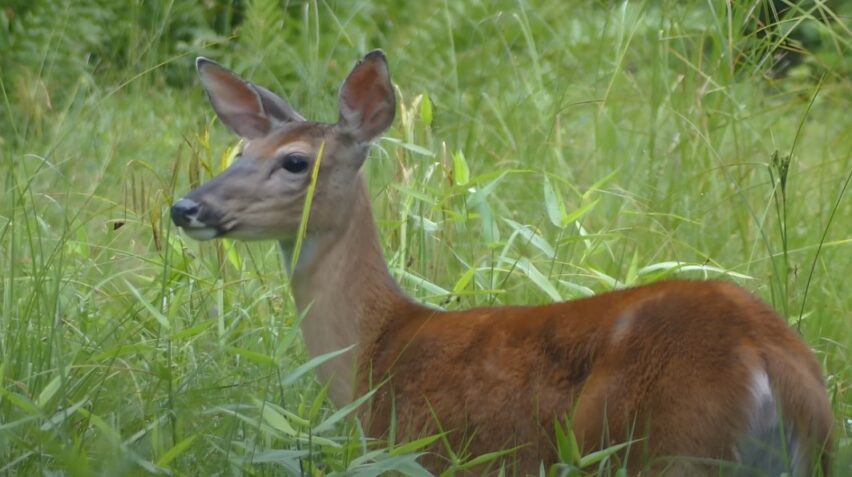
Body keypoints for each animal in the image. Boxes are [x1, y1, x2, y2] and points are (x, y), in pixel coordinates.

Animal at [171, 50, 832, 474]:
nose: (185, 206)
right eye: (239, 150)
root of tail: (763, 356)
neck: (374, 353)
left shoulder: (420, 453)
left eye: (295, 161)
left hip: (667, 447)